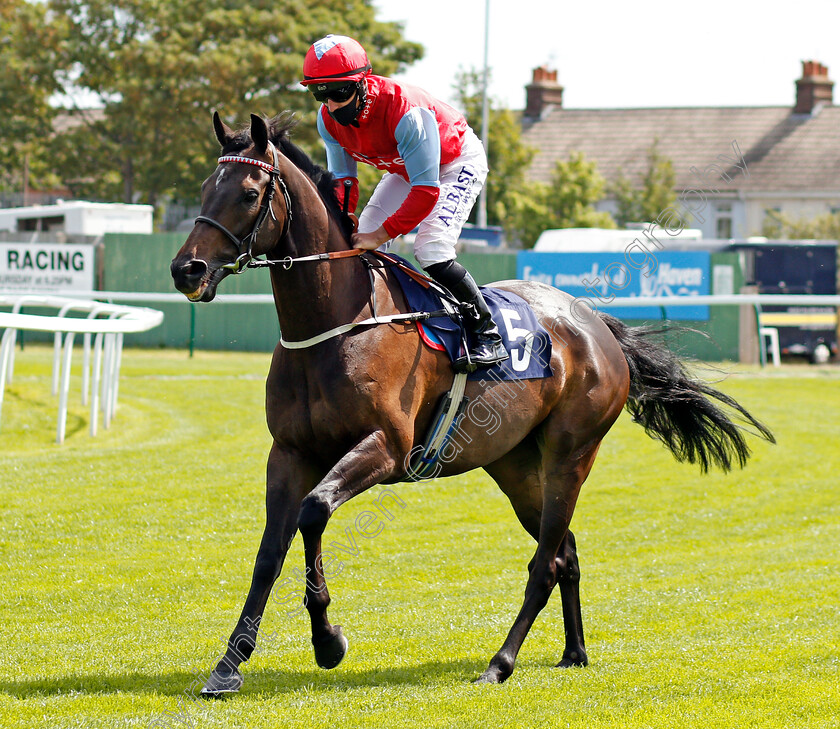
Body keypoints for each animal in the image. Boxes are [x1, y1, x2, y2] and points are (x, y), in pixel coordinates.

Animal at [171, 114, 776, 692]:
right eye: (203, 188)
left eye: (249, 193)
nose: (186, 270)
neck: (337, 324)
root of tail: (594, 323)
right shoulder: (290, 453)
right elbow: (269, 552)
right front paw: (229, 665)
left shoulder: (387, 447)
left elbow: (314, 511)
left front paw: (328, 641)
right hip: (516, 465)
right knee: (566, 552)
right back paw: (573, 652)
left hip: (571, 455)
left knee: (544, 563)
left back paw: (500, 663)